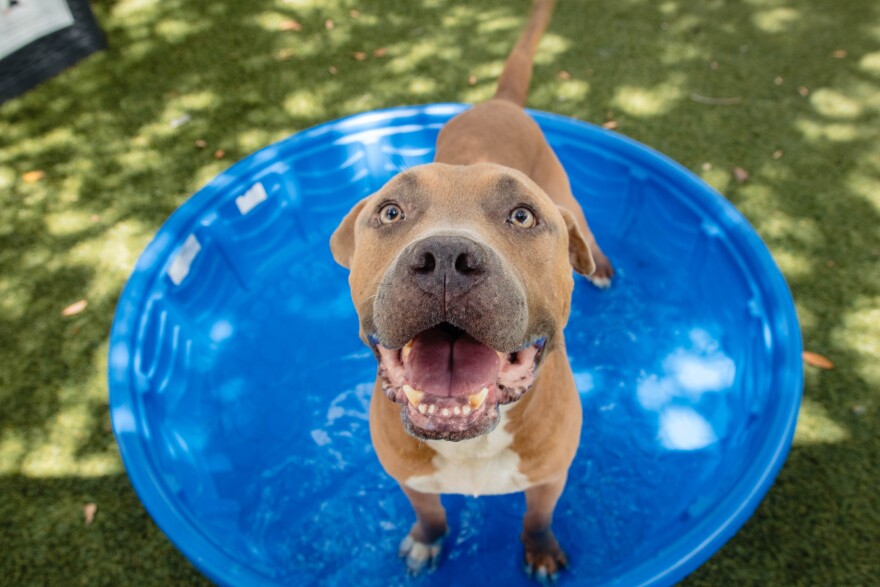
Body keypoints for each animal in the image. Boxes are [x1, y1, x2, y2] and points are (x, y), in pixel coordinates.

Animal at [328, 0, 612, 580]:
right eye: (390, 212)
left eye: (522, 216)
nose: (444, 261)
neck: (472, 442)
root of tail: (496, 103)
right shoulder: (411, 480)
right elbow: (430, 514)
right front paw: (427, 541)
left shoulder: (551, 477)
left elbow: (537, 518)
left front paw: (540, 549)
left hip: (566, 190)